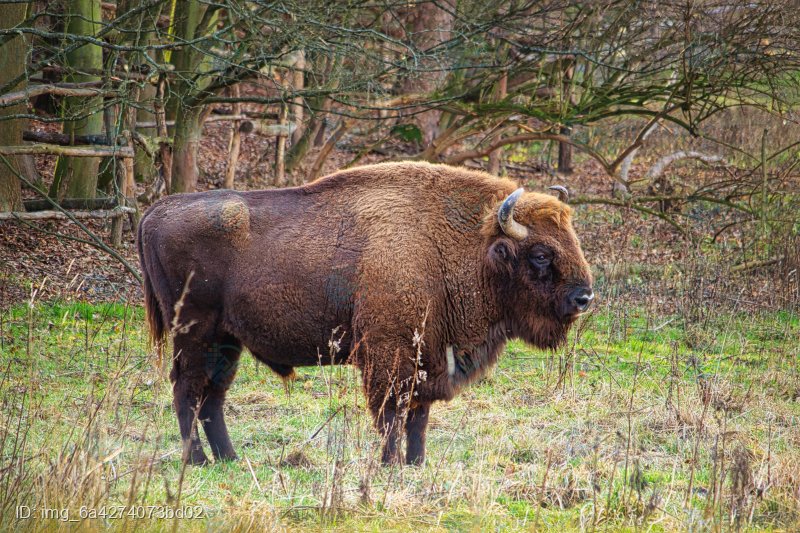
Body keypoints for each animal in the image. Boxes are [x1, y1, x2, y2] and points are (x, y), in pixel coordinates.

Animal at [137, 162, 593, 466]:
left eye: (571, 237)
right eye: (540, 254)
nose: (584, 298)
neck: (463, 246)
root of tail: (156, 211)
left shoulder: (427, 359)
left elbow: (418, 417)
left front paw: (415, 463)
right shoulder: (389, 354)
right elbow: (392, 413)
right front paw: (391, 463)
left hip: (226, 341)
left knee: (212, 395)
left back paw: (229, 458)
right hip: (194, 333)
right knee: (187, 390)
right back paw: (196, 460)